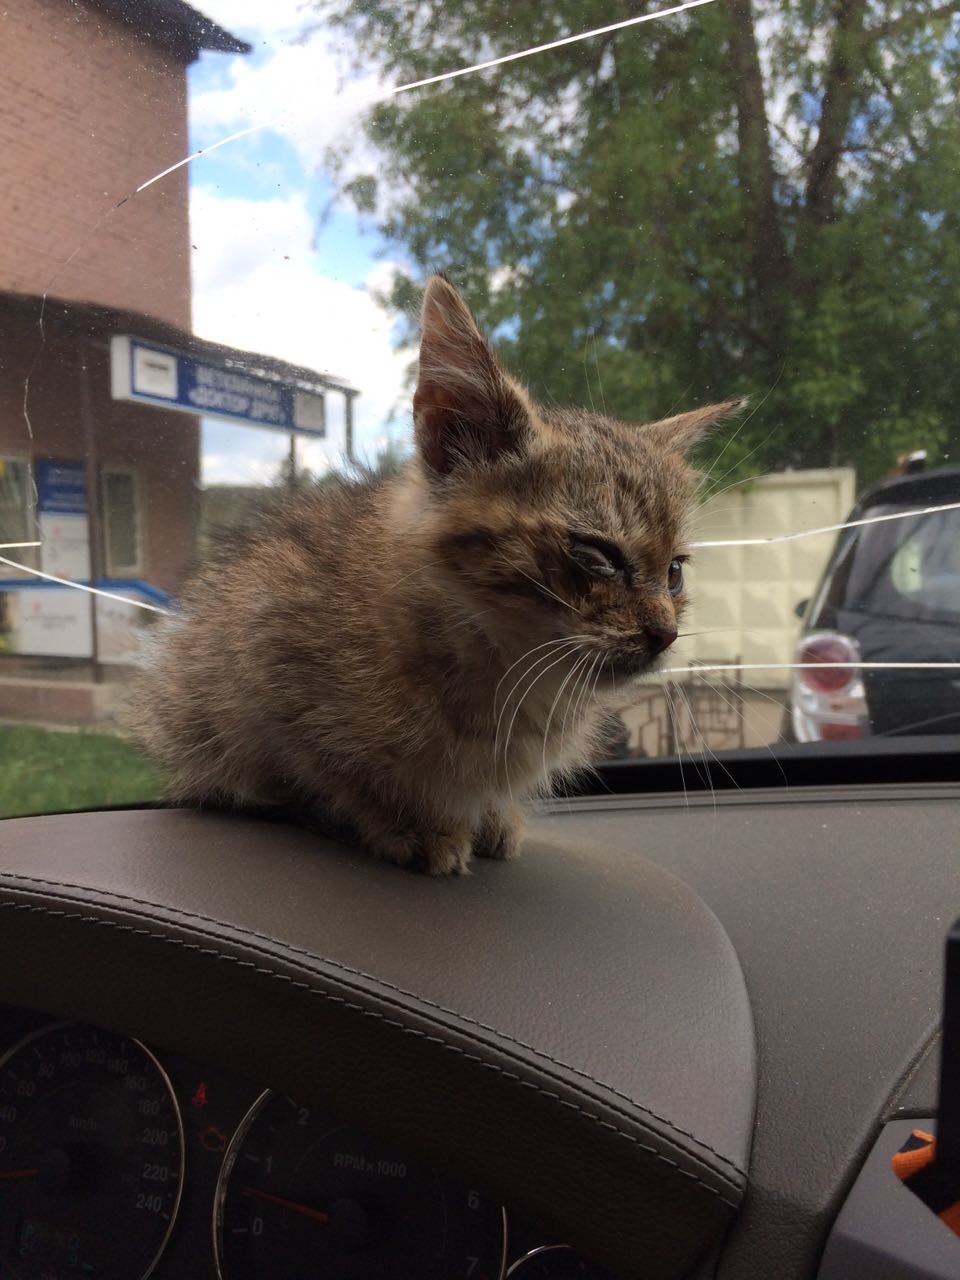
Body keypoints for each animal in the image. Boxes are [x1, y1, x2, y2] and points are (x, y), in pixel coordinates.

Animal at [129, 276, 742, 875]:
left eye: (674, 572)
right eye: (596, 556)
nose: (665, 634)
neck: (504, 664)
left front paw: (491, 813)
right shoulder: (254, 656)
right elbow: (326, 771)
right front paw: (408, 824)